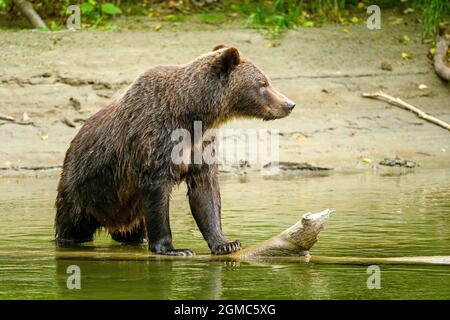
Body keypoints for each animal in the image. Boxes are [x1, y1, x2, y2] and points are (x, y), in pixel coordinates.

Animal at [54, 44, 296, 255]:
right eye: (263, 83)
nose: (289, 104)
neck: (193, 114)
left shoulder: (201, 146)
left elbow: (205, 193)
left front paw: (226, 243)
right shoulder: (155, 140)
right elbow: (157, 193)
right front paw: (173, 248)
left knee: (131, 229)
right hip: (84, 189)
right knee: (71, 223)